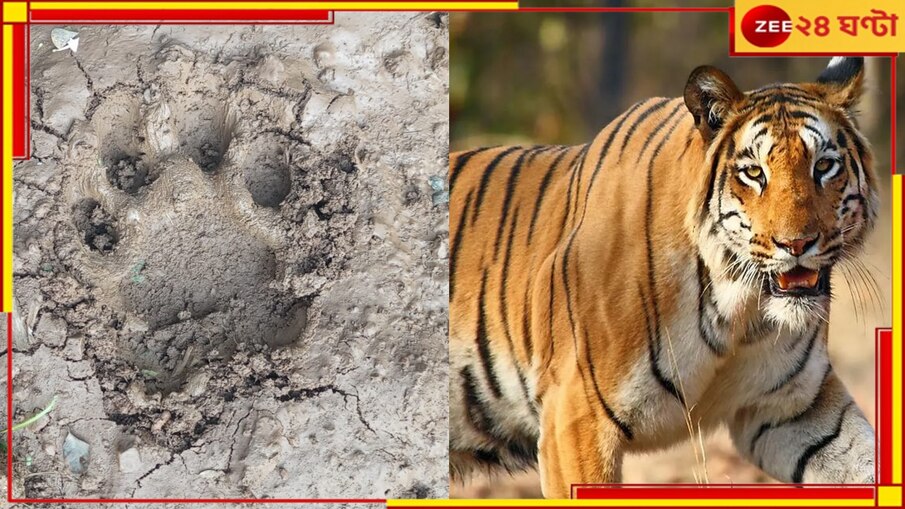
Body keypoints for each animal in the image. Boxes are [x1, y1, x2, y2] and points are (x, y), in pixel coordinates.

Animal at [448, 56, 878, 497]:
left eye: (823, 166)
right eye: (754, 173)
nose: (797, 244)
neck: (740, 311)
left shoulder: (794, 410)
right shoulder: (576, 417)